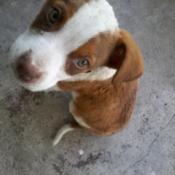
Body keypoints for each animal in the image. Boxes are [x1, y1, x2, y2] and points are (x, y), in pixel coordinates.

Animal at [8, 0, 144, 146]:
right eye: (54, 14)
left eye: (82, 62)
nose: (25, 69)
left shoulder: (64, 84)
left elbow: (48, 86)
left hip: (75, 108)